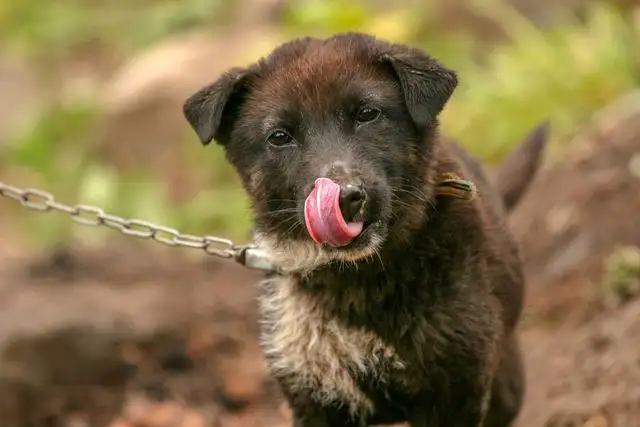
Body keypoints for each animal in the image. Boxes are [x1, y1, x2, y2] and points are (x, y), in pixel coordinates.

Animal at [182, 32, 548, 427]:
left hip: (505, 384)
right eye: (279, 137)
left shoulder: (455, 389)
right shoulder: (313, 395)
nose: (344, 199)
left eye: (367, 114)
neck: (357, 280)